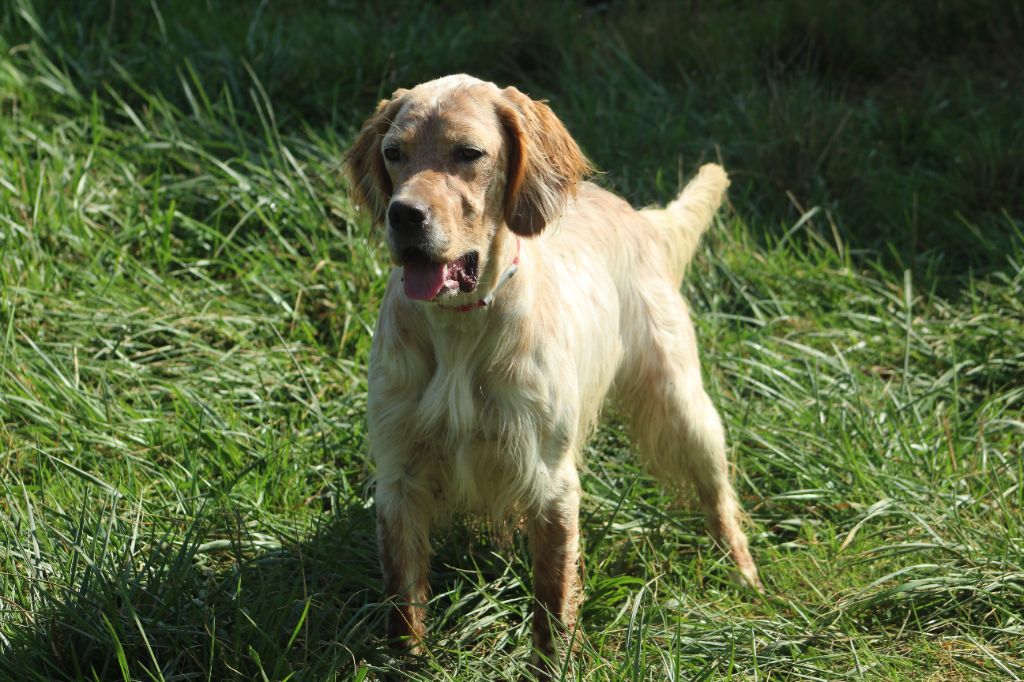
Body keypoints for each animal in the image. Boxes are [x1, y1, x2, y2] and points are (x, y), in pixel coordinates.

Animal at [344, 74, 761, 667]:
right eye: (393, 153)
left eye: (468, 153)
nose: (403, 215)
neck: (460, 327)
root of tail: (640, 217)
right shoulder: (399, 475)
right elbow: (404, 602)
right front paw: (407, 661)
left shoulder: (551, 482)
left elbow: (553, 599)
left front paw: (553, 663)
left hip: (684, 405)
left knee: (719, 496)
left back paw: (745, 575)